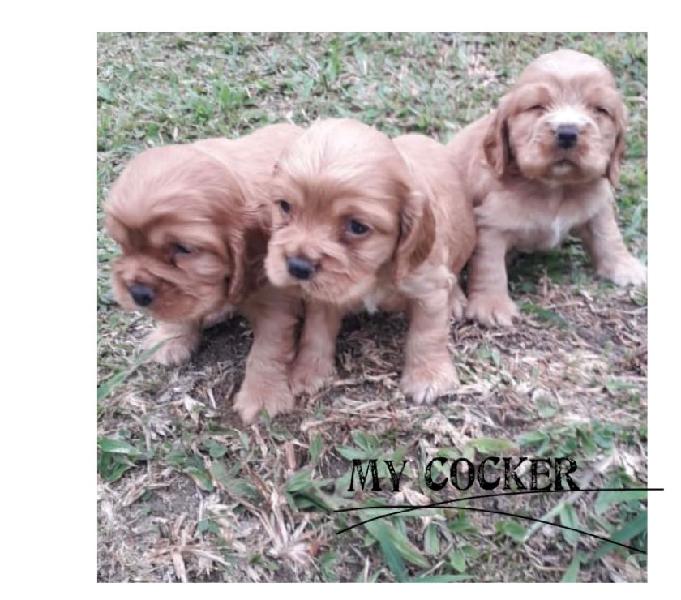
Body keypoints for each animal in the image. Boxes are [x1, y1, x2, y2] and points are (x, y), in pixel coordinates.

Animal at [104, 122, 302, 422]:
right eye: (123, 244)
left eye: (183, 249)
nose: (137, 293)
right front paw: (171, 338)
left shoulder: (275, 303)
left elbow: (268, 350)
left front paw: (262, 396)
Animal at [262, 118, 476, 404]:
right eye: (284, 206)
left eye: (357, 227)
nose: (298, 267)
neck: (374, 273)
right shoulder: (323, 295)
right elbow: (315, 333)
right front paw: (307, 372)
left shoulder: (428, 287)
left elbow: (427, 334)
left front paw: (428, 377)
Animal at [448, 49, 644, 326]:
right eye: (537, 107)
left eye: (600, 110)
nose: (567, 133)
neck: (554, 187)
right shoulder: (489, 224)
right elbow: (489, 266)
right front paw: (492, 305)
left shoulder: (597, 202)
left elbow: (608, 234)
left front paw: (625, 267)